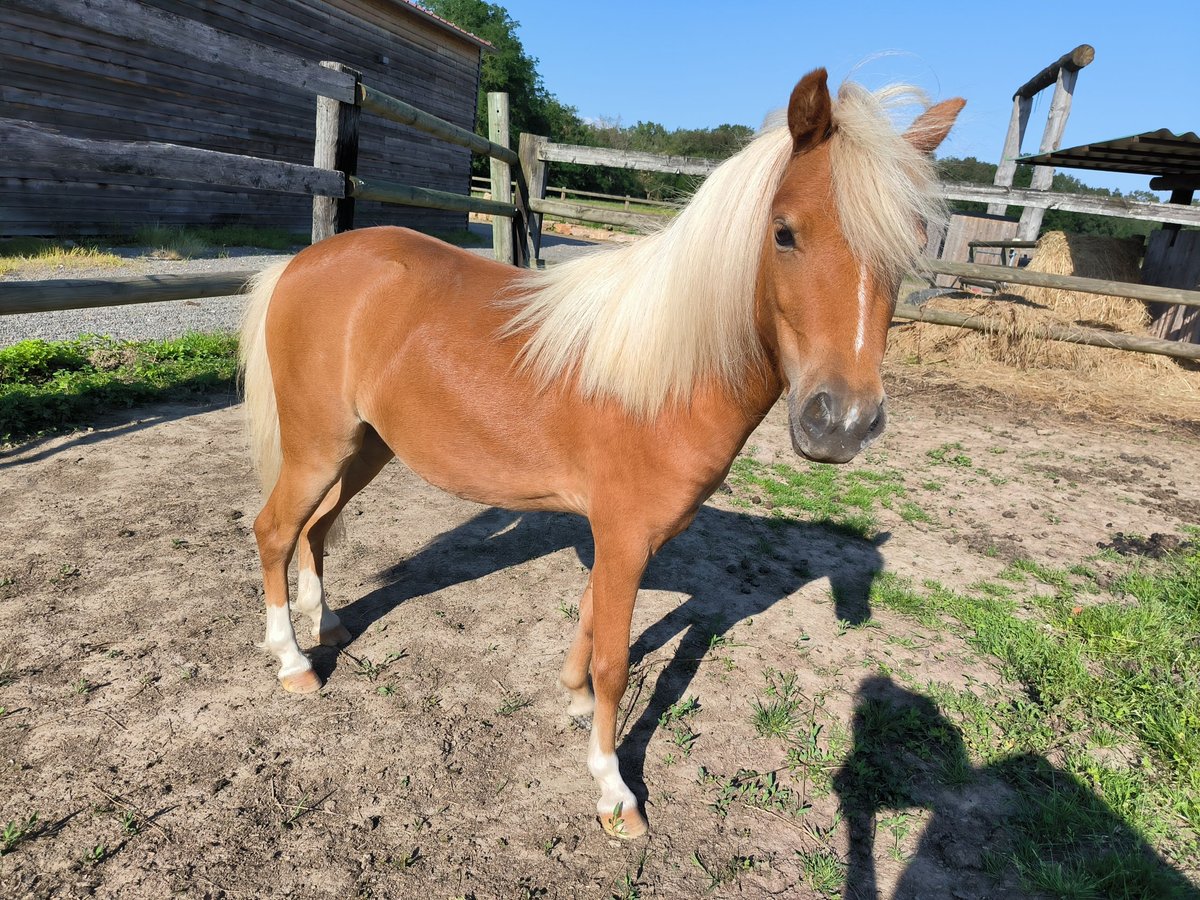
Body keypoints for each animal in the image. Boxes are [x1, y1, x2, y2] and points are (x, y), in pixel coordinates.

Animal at [238, 68, 960, 840]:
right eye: (785, 233)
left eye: (913, 244)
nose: (842, 424)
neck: (666, 371)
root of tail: (302, 262)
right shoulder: (625, 536)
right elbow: (617, 658)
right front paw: (614, 790)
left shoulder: (619, 538)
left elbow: (588, 621)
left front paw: (575, 699)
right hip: (319, 448)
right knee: (275, 530)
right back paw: (293, 662)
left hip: (365, 449)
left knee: (315, 530)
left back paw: (329, 624)